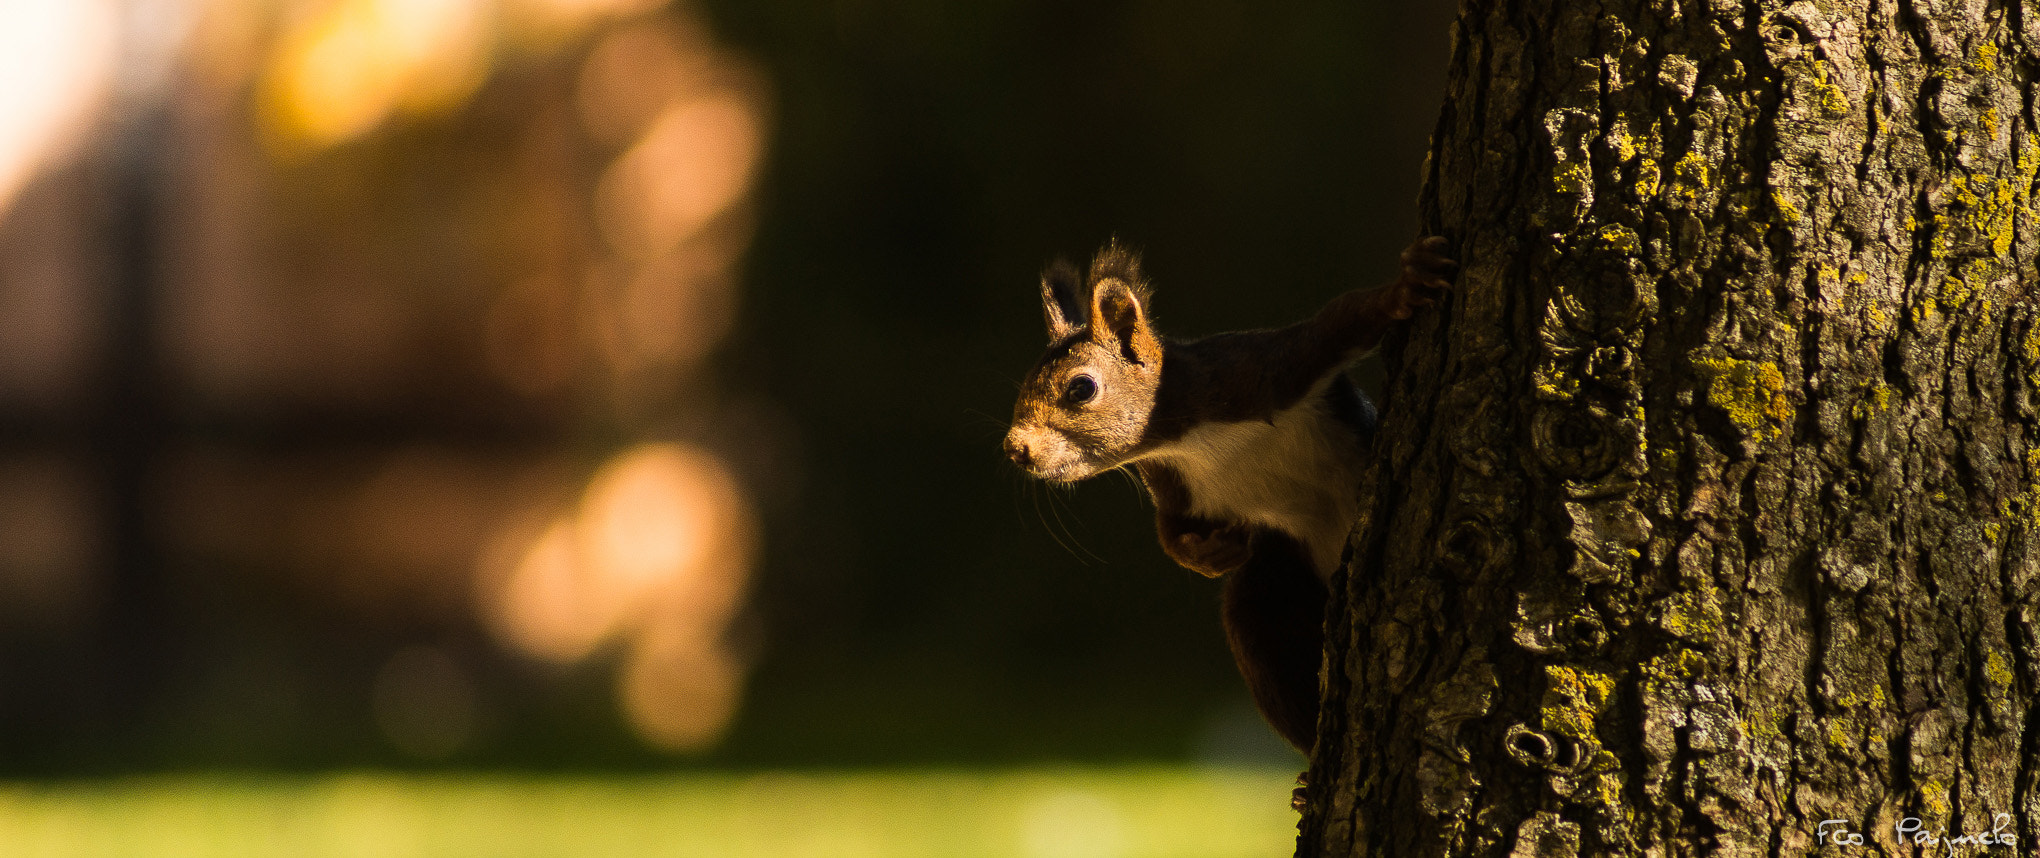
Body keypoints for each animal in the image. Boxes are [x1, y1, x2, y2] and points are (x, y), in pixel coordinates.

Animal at [1002, 236, 1455, 752]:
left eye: (1081, 388)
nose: (1015, 448)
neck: (1193, 441)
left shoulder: (1261, 370)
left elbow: (1340, 321)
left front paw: (1405, 287)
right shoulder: (1172, 484)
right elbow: (1172, 533)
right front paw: (1210, 552)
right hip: (1270, 592)